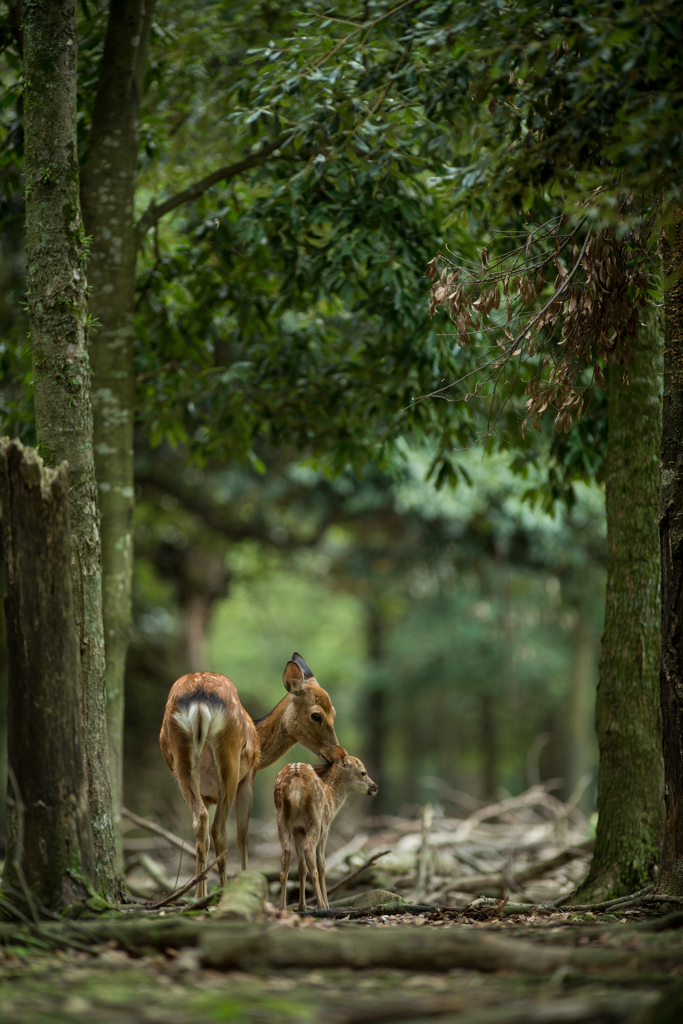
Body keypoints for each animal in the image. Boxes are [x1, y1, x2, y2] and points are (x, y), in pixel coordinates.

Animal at [160, 655, 342, 897]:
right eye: (316, 715)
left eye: (334, 713)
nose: (336, 753)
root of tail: (198, 703)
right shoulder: (248, 778)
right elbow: (243, 836)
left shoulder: (206, 794)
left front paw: (202, 893)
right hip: (230, 760)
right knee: (219, 830)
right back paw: (223, 892)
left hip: (182, 763)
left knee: (200, 823)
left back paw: (200, 896)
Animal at [274, 745, 378, 913]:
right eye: (363, 772)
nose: (375, 787)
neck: (331, 796)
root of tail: (296, 779)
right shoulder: (325, 828)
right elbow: (322, 864)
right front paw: (326, 904)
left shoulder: (298, 829)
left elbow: (301, 866)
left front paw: (302, 906)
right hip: (315, 819)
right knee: (310, 853)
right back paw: (321, 906)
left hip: (281, 818)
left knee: (286, 855)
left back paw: (282, 907)